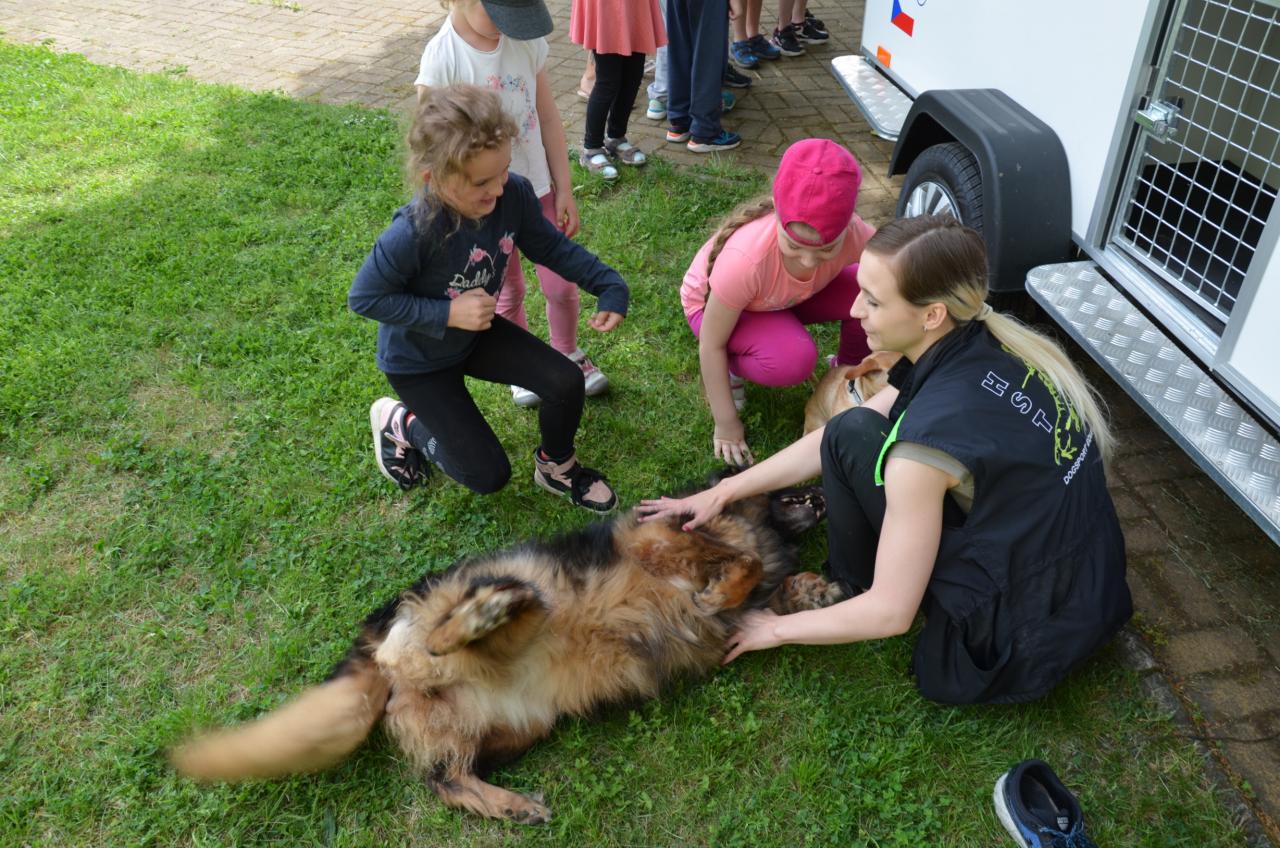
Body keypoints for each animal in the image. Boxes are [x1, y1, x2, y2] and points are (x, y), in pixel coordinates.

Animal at [171, 485, 840, 824]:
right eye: (784, 487)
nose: (819, 495)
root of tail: (378, 639)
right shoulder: (658, 539)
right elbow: (740, 563)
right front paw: (725, 585)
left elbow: (766, 590)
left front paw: (812, 589)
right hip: (505, 599)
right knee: (458, 631)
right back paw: (482, 613)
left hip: (514, 723)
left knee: (444, 778)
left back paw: (509, 805)